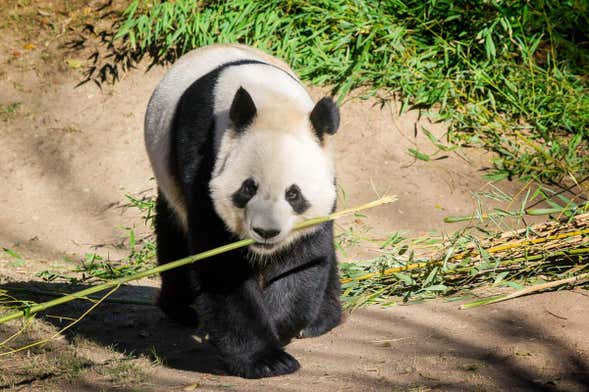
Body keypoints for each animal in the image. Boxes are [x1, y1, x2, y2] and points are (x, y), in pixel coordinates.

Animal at [144, 44, 342, 378]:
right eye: (248, 188)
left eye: (293, 194)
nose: (266, 232)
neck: (272, 102)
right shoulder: (205, 160)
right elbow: (221, 264)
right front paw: (266, 358)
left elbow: (302, 259)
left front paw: (279, 325)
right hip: (168, 175)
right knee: (173, 234)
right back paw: (181, 309)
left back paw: (322, 319)